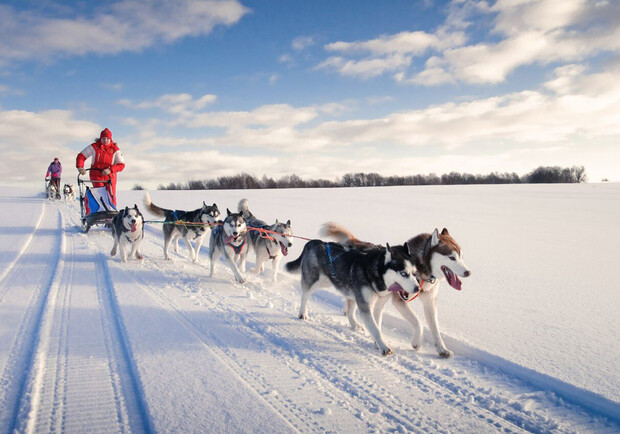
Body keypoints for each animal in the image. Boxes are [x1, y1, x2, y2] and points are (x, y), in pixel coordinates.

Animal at [286, 239, 422, 354]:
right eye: (403, 273)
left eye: (415, 273)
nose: (417, 289)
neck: (376, 273)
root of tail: (315, 242)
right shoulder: (365, 306)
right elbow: (375, 329)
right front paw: (384, 347)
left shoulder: (378, 305)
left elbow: (377, 325)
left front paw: (378, 343)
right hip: (316, 281)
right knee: (305, 294)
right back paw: (302, 313)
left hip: (349, 291)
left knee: (350, 311)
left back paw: (355, 324)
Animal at [322, 222, 472, 358]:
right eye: (451, 257)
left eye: (462, 257)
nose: (468, 272)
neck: (421, 267)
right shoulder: (400, 300)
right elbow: (418, 322)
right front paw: (416, 342)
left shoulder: (430, 301)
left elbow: (435, 328)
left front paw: (442, 349)